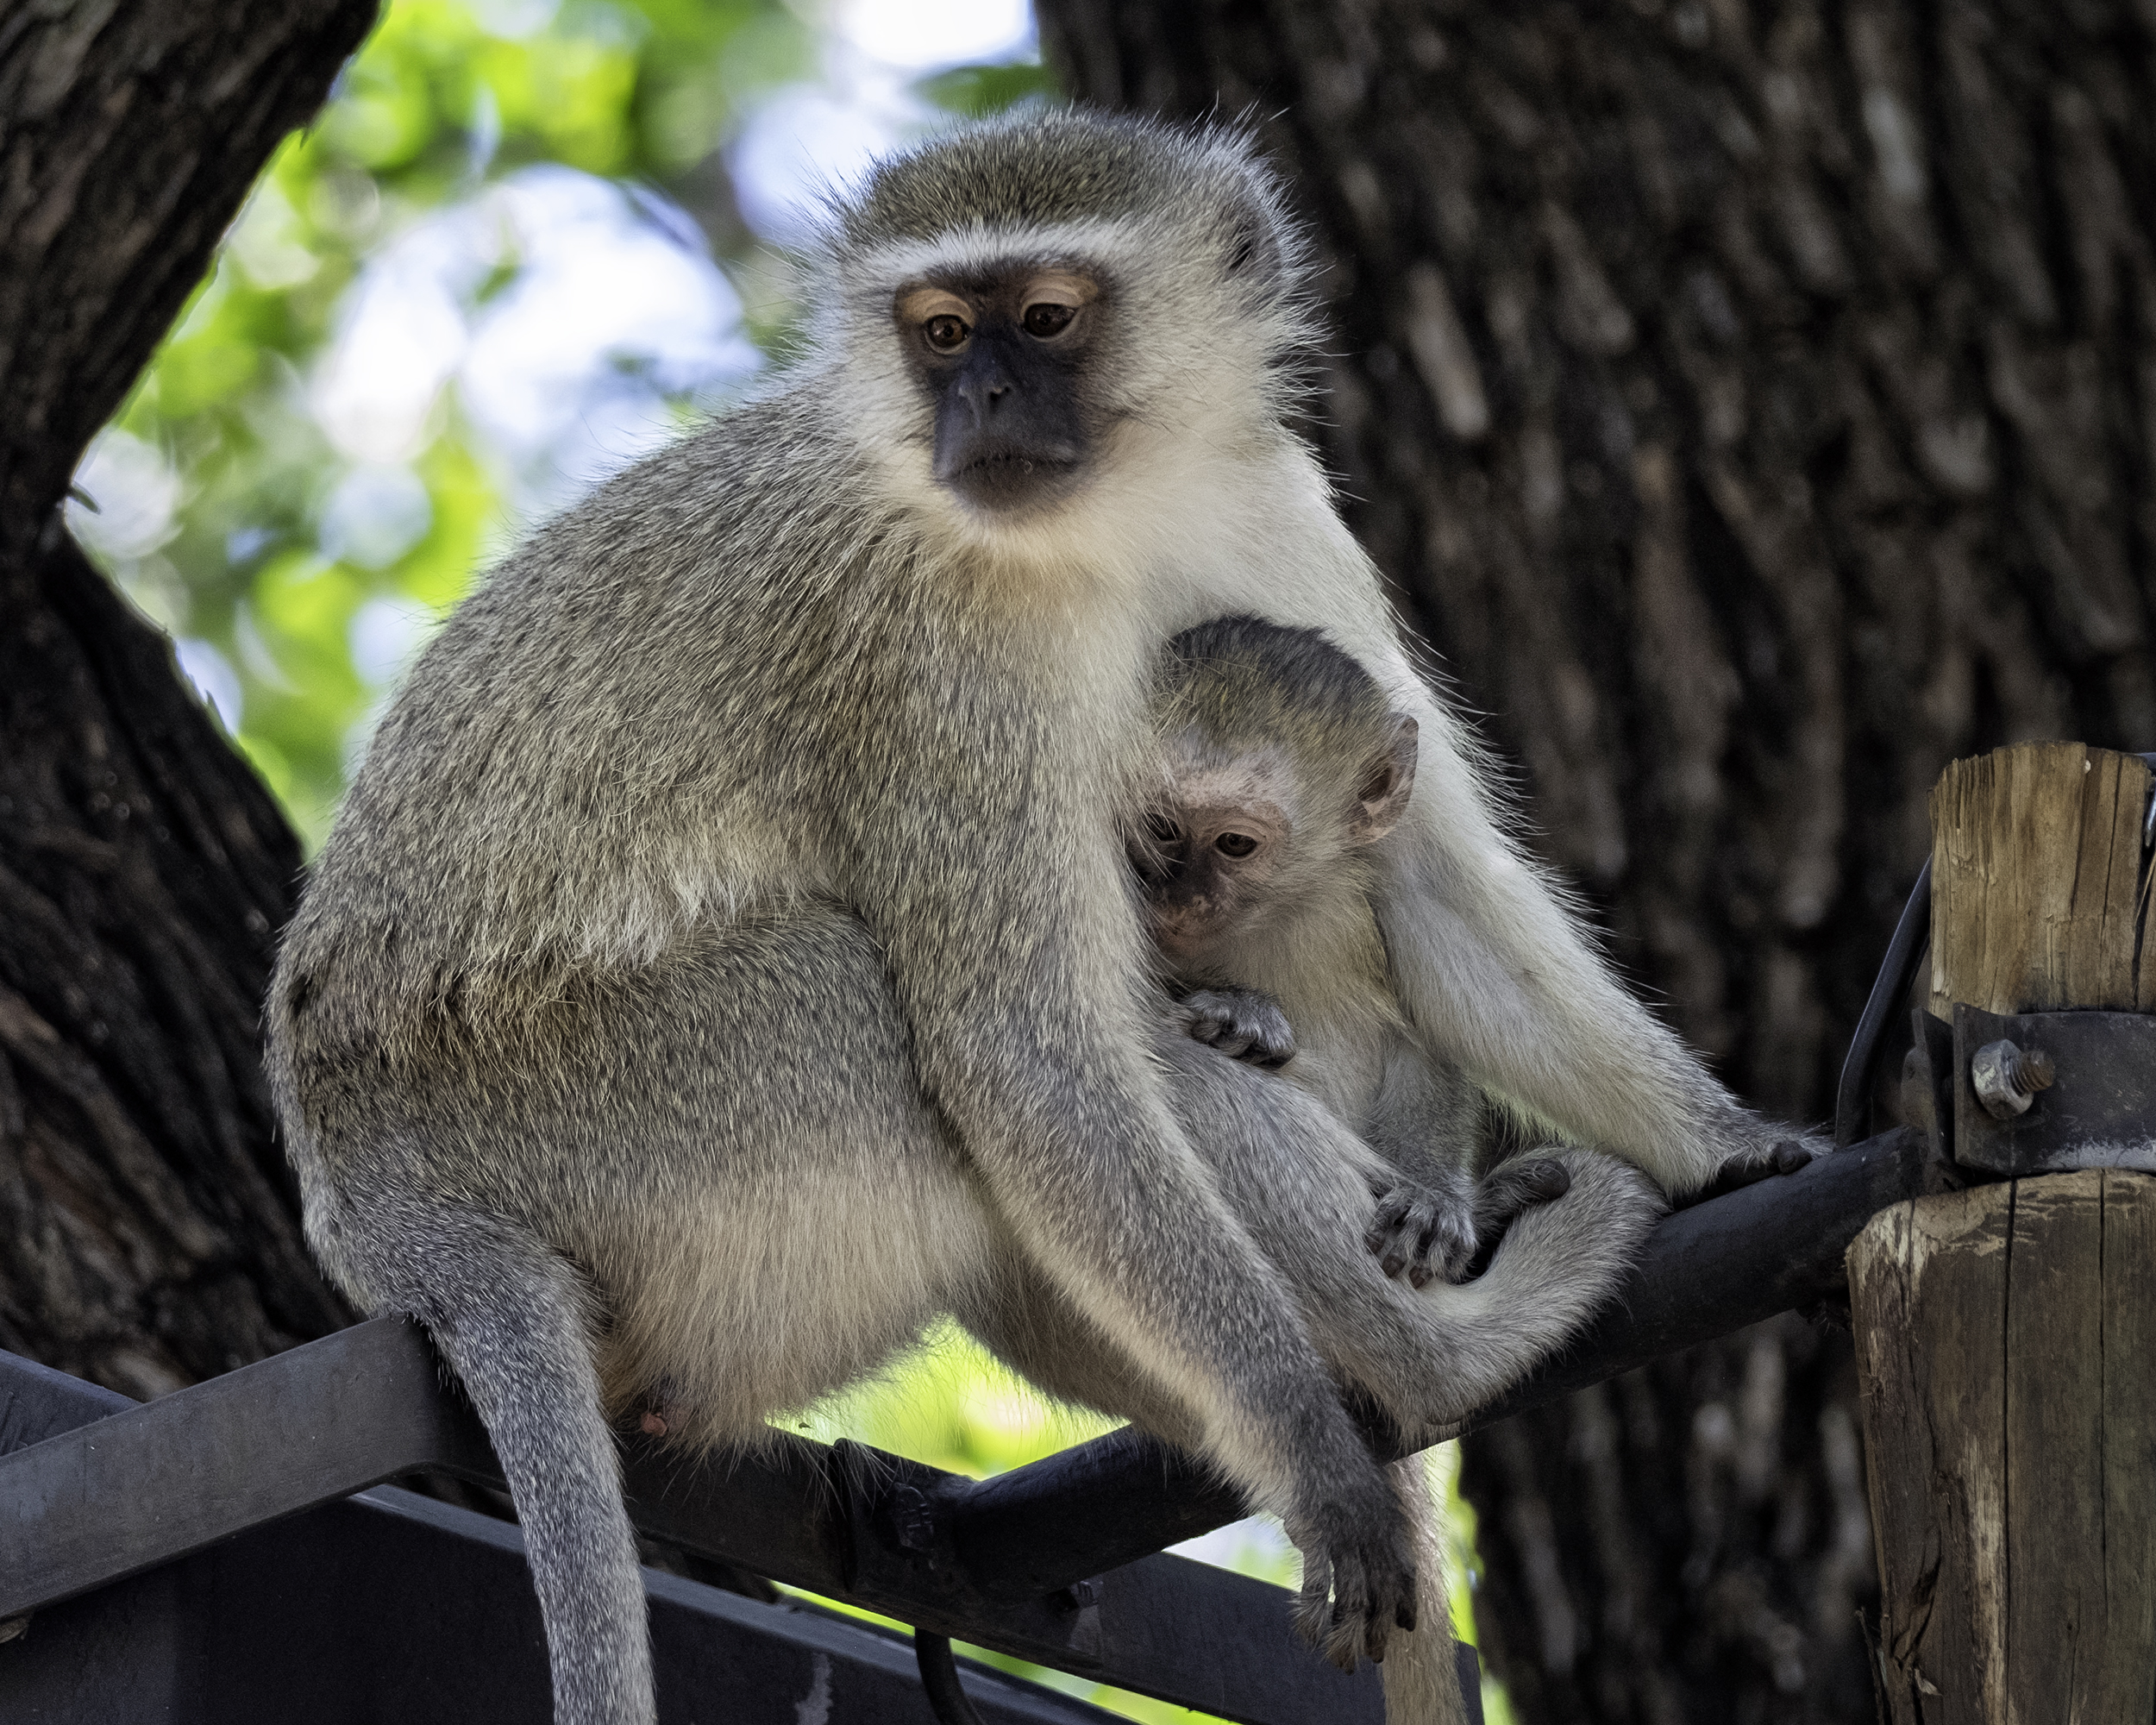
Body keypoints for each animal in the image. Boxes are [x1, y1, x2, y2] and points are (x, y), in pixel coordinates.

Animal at [1138, 617, 1578, 1276]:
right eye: (1161, 828)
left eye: (1235, 843)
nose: (1177, 901)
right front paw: (1243, 1010)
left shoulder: (1350, 917)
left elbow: (1415, 1042)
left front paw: (1434, 1197)